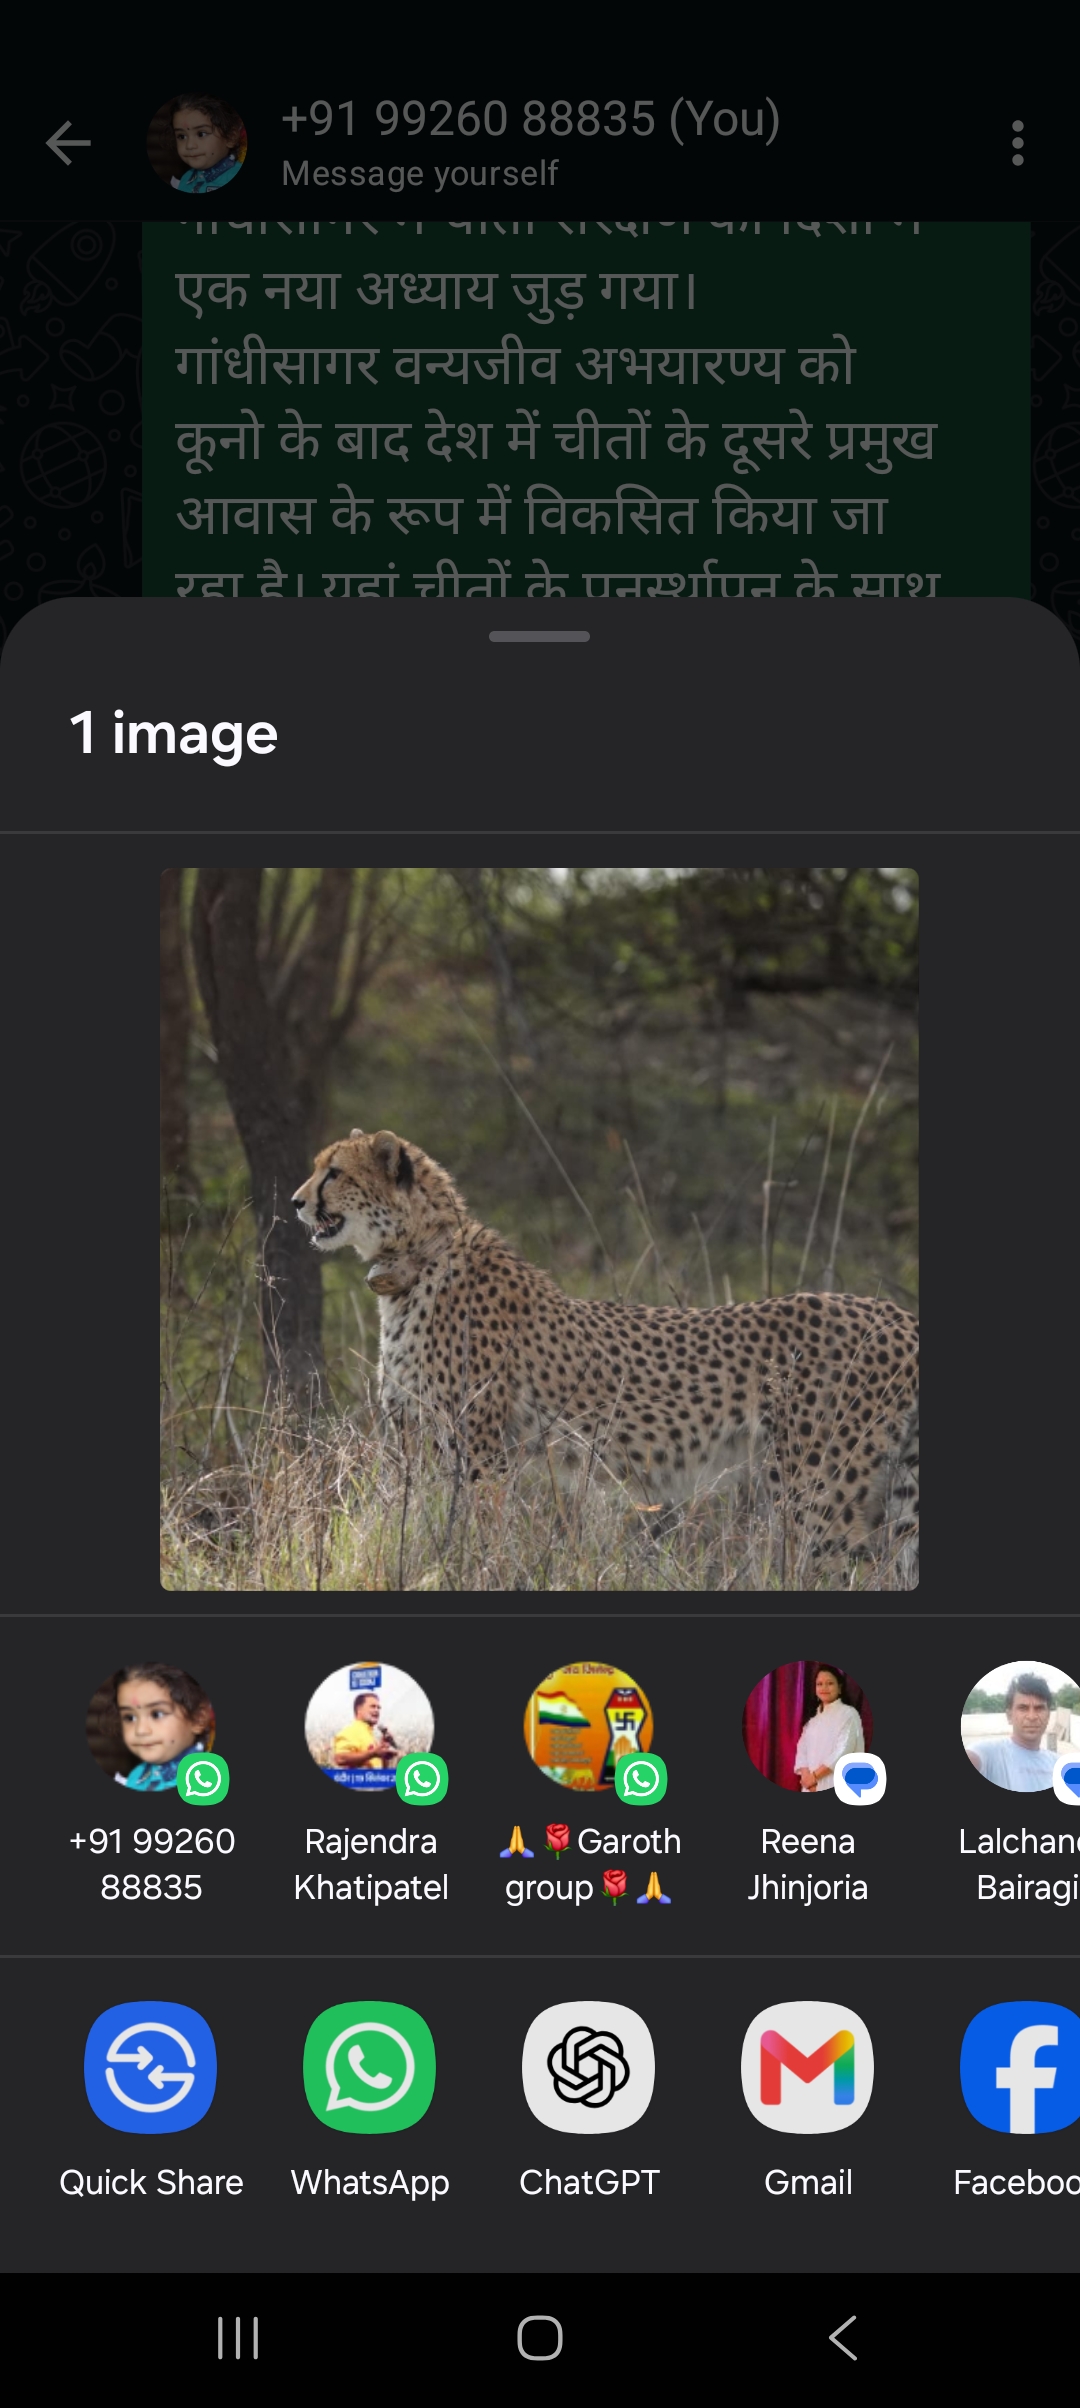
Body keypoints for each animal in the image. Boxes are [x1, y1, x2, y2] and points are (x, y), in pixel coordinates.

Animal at [292, 1127, 919, 1563]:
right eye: (318, 1169)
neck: (419, 1257)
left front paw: (469, 1569)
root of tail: (894, 1311)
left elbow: (476, 1531)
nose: (296, 1201)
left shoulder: (482, 1451)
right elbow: (416, 1522)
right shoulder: (419, 1440)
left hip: (821, 1491)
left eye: (334, 1173)